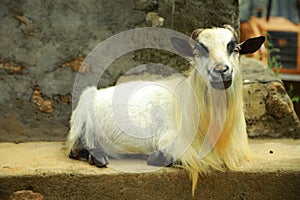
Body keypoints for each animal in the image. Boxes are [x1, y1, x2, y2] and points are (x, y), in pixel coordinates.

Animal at [66, 25, 264, 195]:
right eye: (197, 52)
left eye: (235, 49)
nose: (221, 71)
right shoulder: (172, 139)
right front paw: (155, 157)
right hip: (83, 118)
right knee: (75, 148)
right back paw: (97, 157)